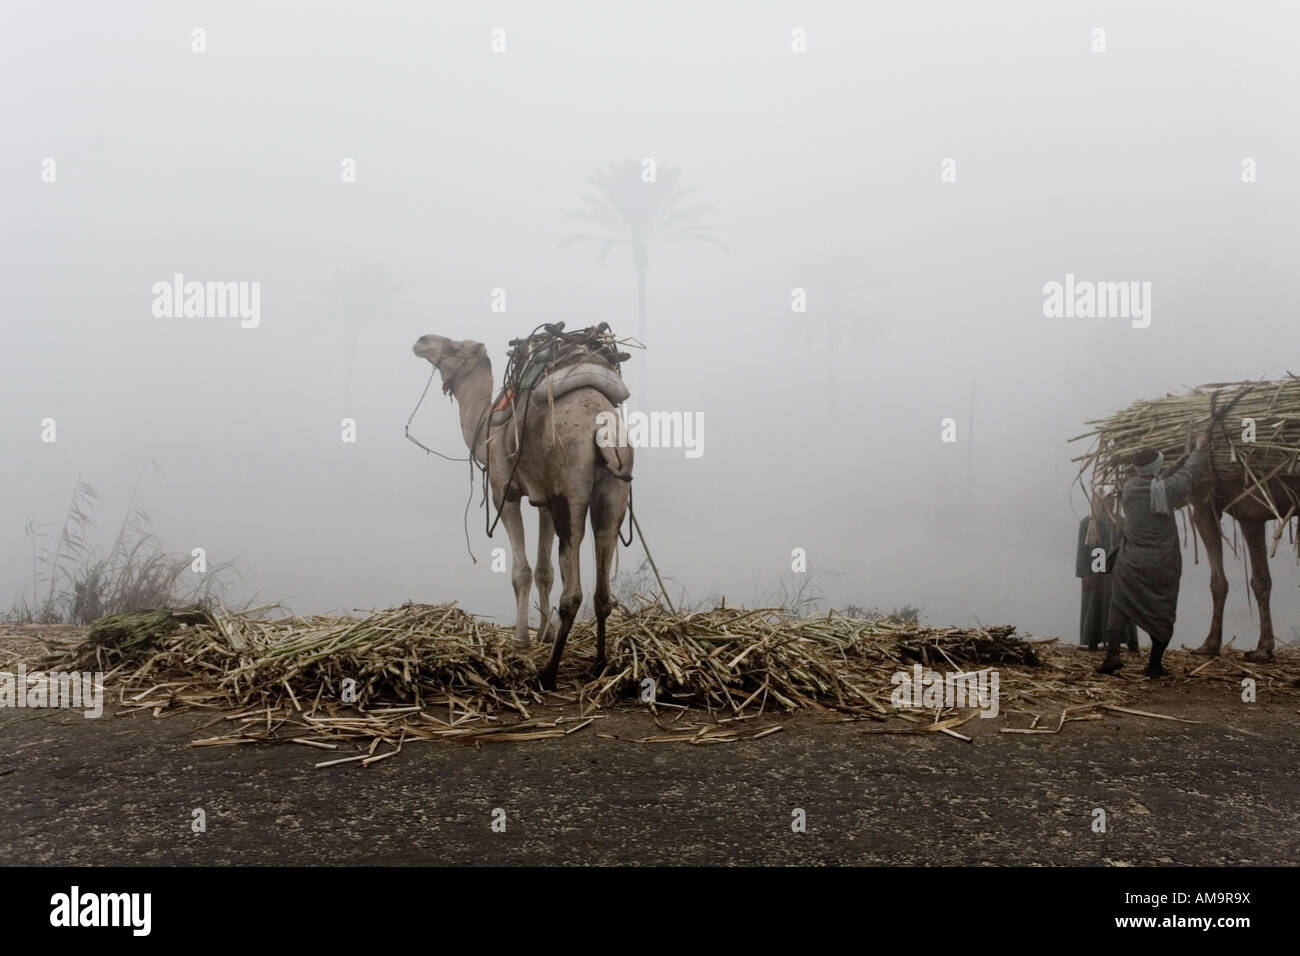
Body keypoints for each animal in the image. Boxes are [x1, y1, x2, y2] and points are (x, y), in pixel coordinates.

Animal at [411, 334, 633, 689]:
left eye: (455, 348)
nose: (422, 341)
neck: (486, 428)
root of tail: (604, 426)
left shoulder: (505, 492)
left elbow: (522, 571)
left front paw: (522, 641)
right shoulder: (543, 497)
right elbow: (544, 570)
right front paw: (544, 634)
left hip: (570, 487)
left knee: (573, 591)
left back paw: (548, 673)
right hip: (614, 488)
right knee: (602, 583)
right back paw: (599, 664)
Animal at [1190, 474, 1300, 663]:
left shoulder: (1250, 511)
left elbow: (1260, 581)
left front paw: (1263, 648)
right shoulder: (1210, 505)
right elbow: (1219, 582)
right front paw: (1212, 644)